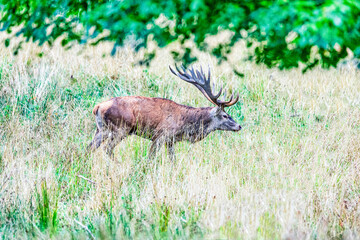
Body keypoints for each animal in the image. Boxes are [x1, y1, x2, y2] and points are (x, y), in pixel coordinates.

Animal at [87, 64, 240, 160]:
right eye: (225, 115)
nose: (239, 126)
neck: (184, 123)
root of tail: (97, 107)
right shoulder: (160, 135)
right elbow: (150, 158)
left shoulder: (170, 141)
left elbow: (173, 160)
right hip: (121, 128)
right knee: (107, 149)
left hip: (101, 129)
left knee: (89, 147)